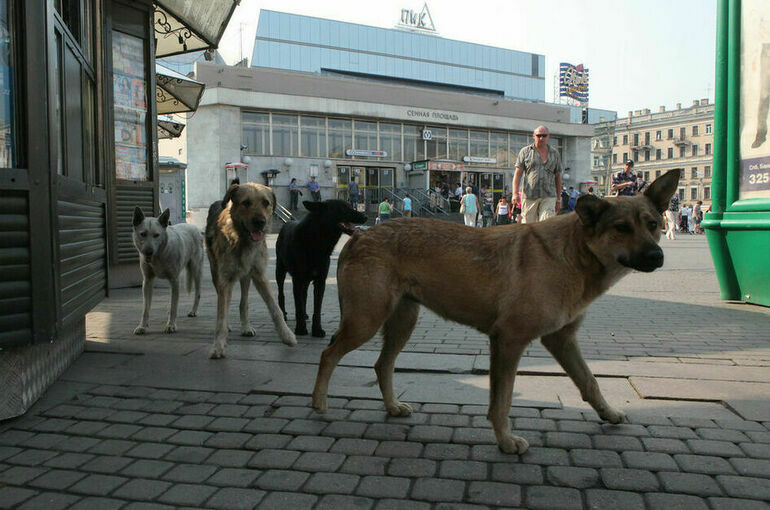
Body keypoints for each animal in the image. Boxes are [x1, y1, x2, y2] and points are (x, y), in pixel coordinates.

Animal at [202, 182, 296, 358]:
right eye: (246, 203)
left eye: (266, 203)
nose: (260, 222)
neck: (243, 241)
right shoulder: (225, 279)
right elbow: (221, 314)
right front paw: (218, 345)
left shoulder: (260, 275)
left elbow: (275, 308)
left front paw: (287, 335)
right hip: (216, 272)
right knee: (224, 300)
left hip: (246, 277)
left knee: (243, 302)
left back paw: (246, 326)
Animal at [276, 200, 366, 338]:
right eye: (343, 208)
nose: (365, 217)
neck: (317, 242)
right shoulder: (297, 280)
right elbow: (298, 306)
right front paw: (301, 329)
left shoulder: (320, 281)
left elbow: (317, 309)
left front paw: (317, 330)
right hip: (280, 272)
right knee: (281, 294)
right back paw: (284, 315)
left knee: (304, 295)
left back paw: (305, 315)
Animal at [312, 169, 680, 452]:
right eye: (621, 228)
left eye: (652, 224)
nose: (657, 256)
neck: (572, 254)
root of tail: (360, 235)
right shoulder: (508, 341)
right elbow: (501, 401)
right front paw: (505, 441)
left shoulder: (562, 340)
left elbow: (589, 382)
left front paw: (608, 413)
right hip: (366, 320)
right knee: (329, 354)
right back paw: (318, 403)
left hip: (402, 322)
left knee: (381, 365)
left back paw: (390, 406)